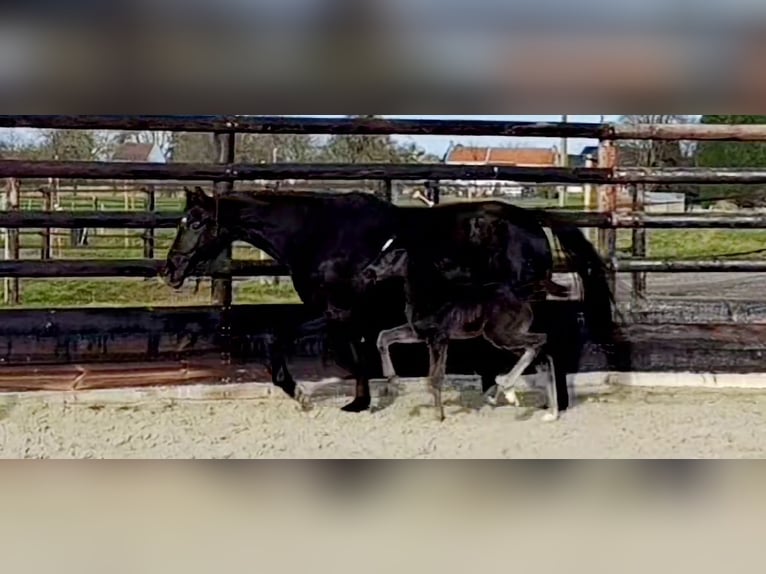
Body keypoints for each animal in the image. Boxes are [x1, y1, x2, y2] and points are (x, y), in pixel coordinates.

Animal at [357, 240, 561, 422]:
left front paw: (439, 416)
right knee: (541, 357)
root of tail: (522, 294)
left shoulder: (439, 338)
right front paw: (392, 379)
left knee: (540, 341)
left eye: (393, 254)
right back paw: (546, 411)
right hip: (506, 338)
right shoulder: (418, 333)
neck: (430, 294)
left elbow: (435, 377)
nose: (367, 272)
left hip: (502, 335)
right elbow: (383, 337)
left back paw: (507, 386)